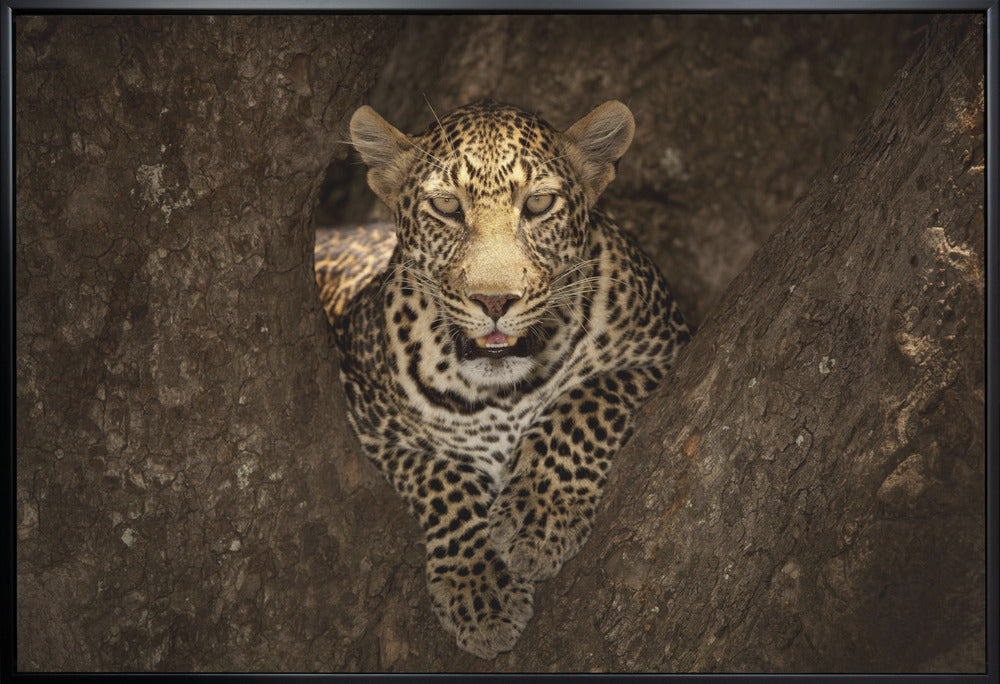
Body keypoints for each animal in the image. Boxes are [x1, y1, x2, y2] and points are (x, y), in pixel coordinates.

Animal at [316, 99, 690, 659]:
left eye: (538, 204)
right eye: (447, 207)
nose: (494, 302)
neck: (501, 394)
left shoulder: (665, 349)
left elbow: (583, 401)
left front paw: (539, 516)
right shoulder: (371, 421)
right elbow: (441, 477)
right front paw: (480, 589)